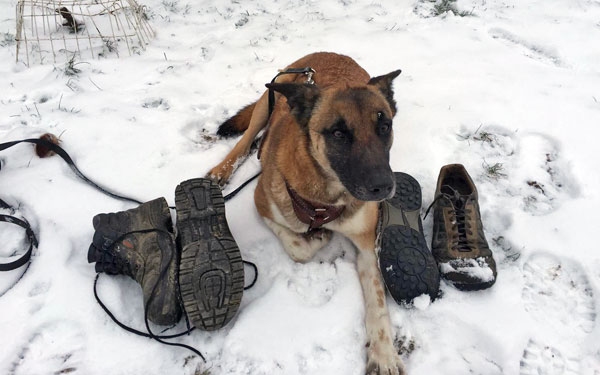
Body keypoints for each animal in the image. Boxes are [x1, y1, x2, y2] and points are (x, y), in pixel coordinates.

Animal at [209, 52, 406, 375]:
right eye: (338, 133)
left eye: (384, 126)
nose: (384, 187)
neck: (328, 196)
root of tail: (325, 54)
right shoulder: (262, 202)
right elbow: (297, 246)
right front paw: (318, 238)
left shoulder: (366, 245)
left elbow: (377, 302)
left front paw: (384, 354)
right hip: (267, 103)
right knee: (245, 140)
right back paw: (223, 169)